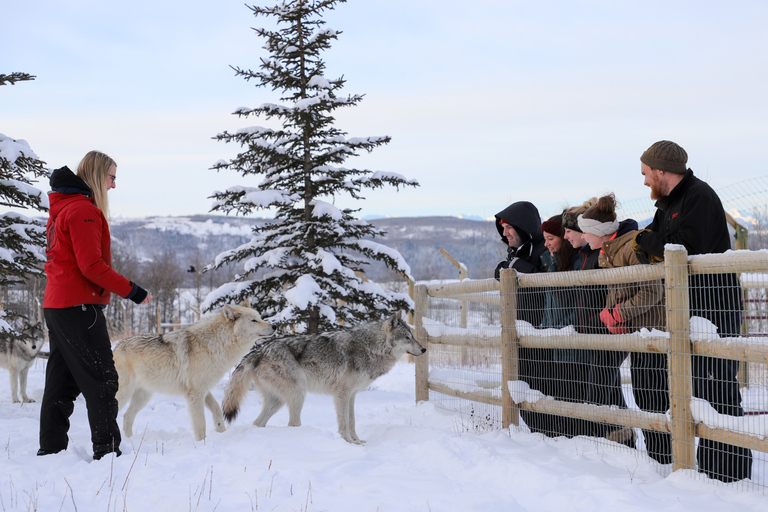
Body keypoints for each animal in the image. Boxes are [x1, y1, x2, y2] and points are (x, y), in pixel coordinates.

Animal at [115, 306, 278, 442]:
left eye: (260, 317)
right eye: (254, 320)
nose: (275, 326)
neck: (215, 344)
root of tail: (116, 347)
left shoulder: (204, 390)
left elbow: (217, 409)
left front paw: (221, 432)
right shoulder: (196, 393)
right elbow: (200, 423)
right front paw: (201, 444)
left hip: (143, 397)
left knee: (127, 417)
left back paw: (130, 441)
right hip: (124, 395)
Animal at [222, 314, 426, 442]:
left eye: (413, 336)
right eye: (407, 337)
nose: (424, 349)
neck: (371, 347)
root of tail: (259, 351)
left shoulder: (352, 395)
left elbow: (352, 421)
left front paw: (358, 441)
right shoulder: (342, 394)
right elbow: (344, 423)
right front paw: (349, 443)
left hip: (278, 401)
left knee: (258, 423)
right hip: (298, 393)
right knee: (292, 423)